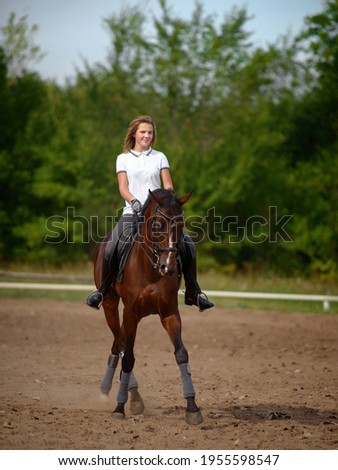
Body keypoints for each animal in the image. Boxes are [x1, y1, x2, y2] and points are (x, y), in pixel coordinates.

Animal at [93, 188, 203, 426]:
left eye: (181, 225)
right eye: (157, 224)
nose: (168, 267)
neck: (151, 269)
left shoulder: (170, 314)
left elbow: (181, 354)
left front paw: (192, 408)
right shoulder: (131, 313)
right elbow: (129, 357)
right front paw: (119, 407)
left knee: (118, 343)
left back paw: (114, 392)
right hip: (110, 304)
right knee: (121, 343)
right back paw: (128, 396)